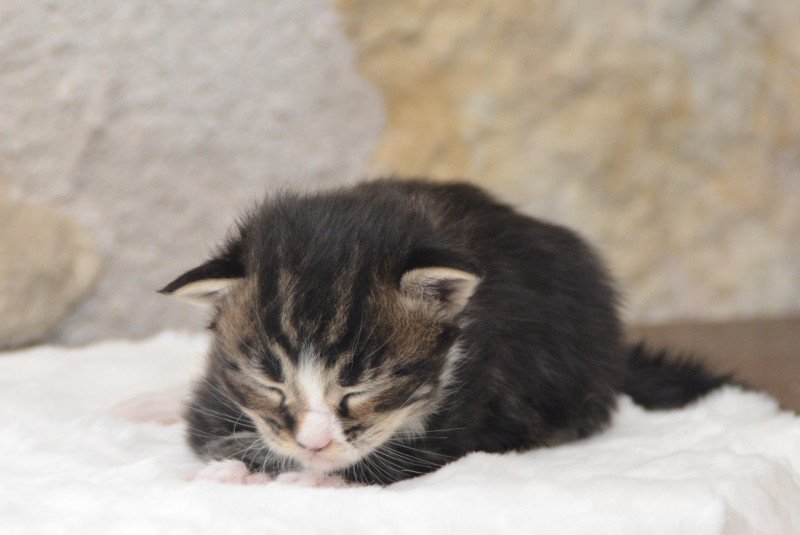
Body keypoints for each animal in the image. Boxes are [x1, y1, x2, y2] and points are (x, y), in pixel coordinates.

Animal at [159, 179, 728, 486]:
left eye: (360, 390)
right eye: (271, 386)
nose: (313, 445)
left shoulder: (466, 414)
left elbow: (373, 466)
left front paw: (293, 479)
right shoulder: (220, 390)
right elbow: (214, 430)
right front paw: (229, 467)